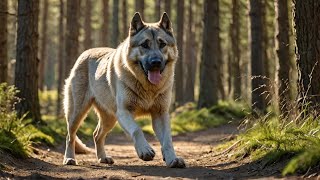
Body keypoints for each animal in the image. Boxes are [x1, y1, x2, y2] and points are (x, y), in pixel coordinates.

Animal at [62, 12, 186, 169]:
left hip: (110, 118)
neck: (148, 88)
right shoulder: (124, 112)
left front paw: (172, 159)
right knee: (70, 136)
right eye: (144, 44)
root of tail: (85, 53)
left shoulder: (160, 114)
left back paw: (103, 158)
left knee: (96, 134)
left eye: (162, 44)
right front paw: (145, 150)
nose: (156, 63)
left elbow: (167, 140)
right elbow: (137, 129)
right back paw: (69, 159)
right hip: (77, 113)